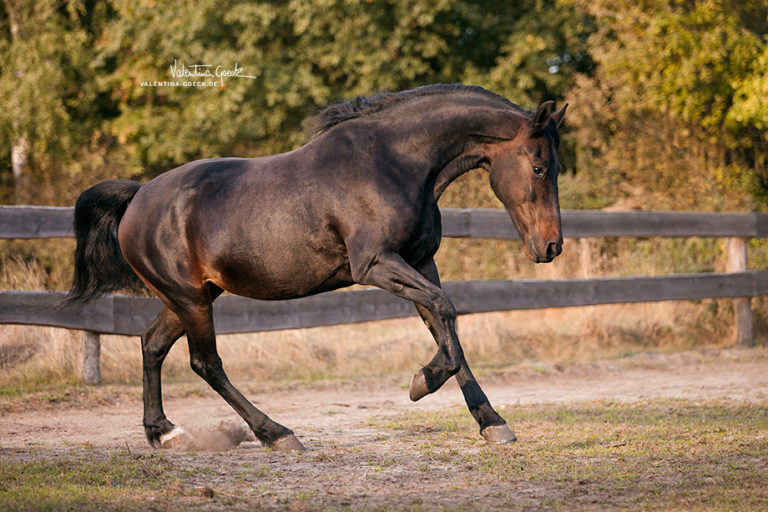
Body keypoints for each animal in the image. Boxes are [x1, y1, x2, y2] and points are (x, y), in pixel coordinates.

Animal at [69, 85, 568, 452]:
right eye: (540, 168)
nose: (551, 246)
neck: (394, 163)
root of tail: (138, 197)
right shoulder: (376, 264)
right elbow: (446, 314)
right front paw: (420, 382)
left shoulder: (422, 263)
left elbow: (449, 331)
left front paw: (492, 423)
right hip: (190, 299)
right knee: (205, 362)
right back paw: (277, 434)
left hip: (193, 295)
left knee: (152, 344)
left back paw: (165, 432)